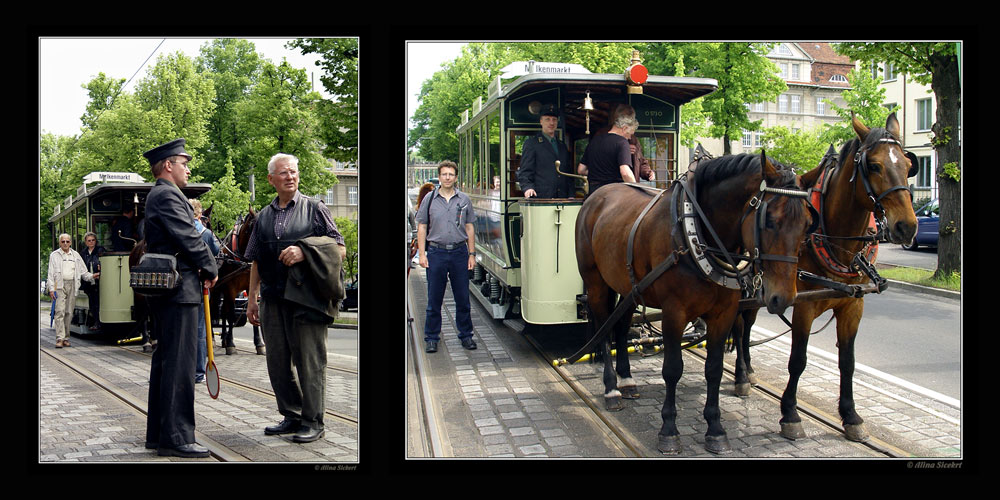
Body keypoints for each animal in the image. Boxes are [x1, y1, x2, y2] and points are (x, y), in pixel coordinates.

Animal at [576, 151, 816, 454]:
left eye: (807, 225)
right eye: (769, 220)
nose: (782, 298)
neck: (695, 231)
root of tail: (596, 195)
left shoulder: (723, 314)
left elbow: (713, 369)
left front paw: (715, 428)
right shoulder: (674, 312)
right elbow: (672, 369)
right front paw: (669, 430)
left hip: (629, 286)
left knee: (620, 326)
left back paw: (627, 380)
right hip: (595, 281)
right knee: (604, 330)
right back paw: (611, 389)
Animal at [732, 113, 916, 442]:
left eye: (908, 164)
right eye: (874, 165)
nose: (907, 226)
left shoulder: (853, 306)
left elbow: (848, 362)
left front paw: (851, 416)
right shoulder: (803, 305)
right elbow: (798, 360)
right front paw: (790, 413)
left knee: (747, 326)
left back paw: (749, 371)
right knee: (740, 327)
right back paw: (740, 376)